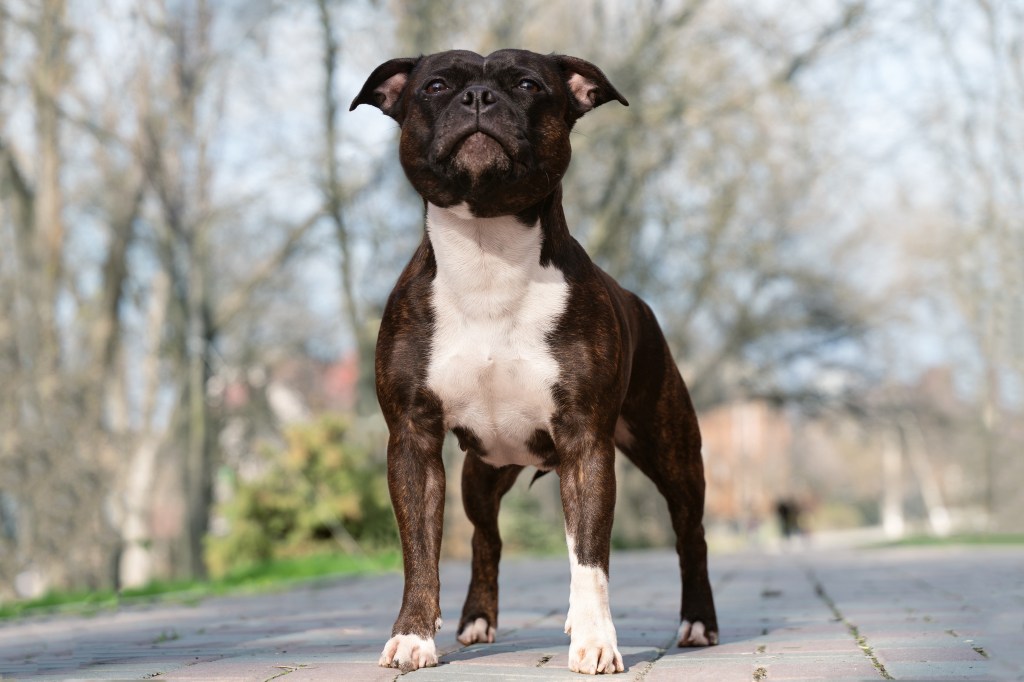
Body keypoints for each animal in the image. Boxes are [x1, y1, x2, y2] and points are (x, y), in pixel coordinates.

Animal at [348, 49, 716, 675]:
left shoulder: (585, 443)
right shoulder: (413, 438)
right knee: (486, 536)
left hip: (671, 452)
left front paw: (595, 640)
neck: (487, 253)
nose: (477, 98)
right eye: (436, 86)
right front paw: (414, 637)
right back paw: (477, 620)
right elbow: (419, 550)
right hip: (484, 467)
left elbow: (590, 556)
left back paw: (697, 623)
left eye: (527, 85)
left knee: (688, 534)